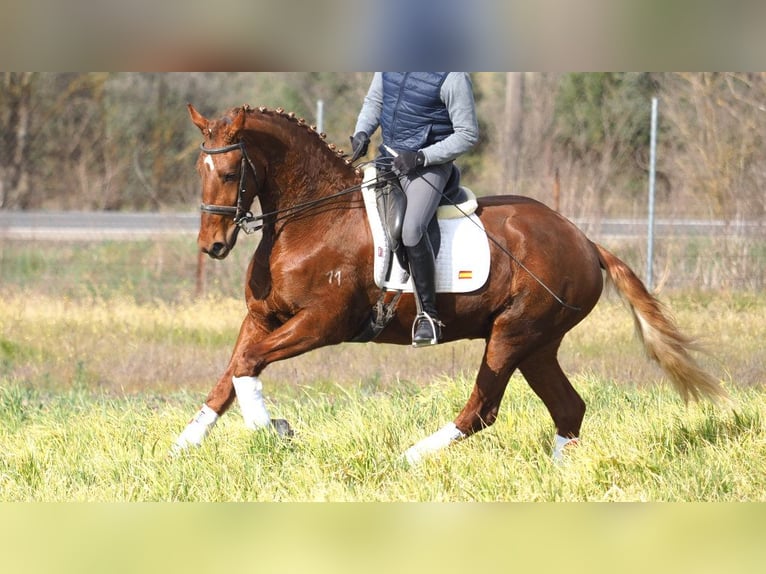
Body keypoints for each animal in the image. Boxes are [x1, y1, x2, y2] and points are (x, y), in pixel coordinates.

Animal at [176, 102, 732, 464]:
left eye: (231, 171)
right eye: (200, 167)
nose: (212, 245)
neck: (311, 218)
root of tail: (585, 241)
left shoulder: (323, 323)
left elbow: (248, 365)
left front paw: (273, 430)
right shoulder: (262, 317)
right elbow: (231, 374)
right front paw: (184, 445)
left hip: (513, 334)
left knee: (482, 410)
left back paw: (409, 458)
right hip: (538, 344)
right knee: (568, 408)